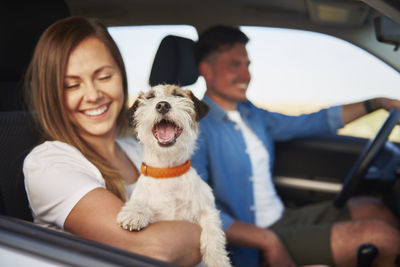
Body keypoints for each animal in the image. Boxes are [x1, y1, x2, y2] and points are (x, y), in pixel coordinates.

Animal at [116, 84, 231, 267]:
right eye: (150, 97)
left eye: (178, 95)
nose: (162, 105)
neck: (167, 171)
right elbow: (140, 201)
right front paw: (135, 213)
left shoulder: (207, 210)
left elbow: (212, 232)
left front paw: (218, 260)